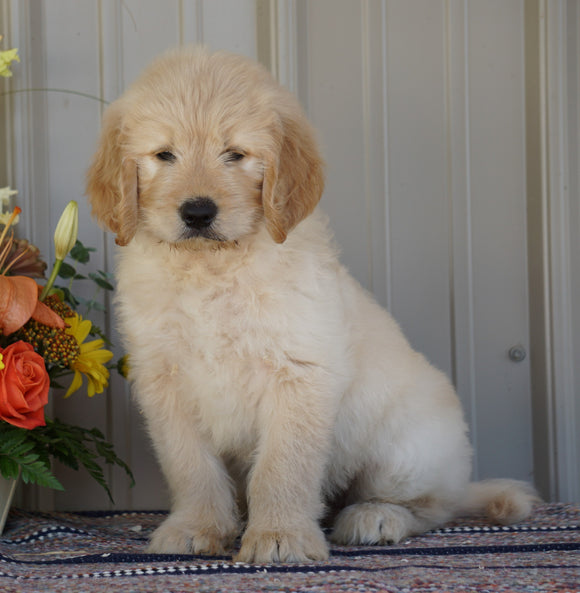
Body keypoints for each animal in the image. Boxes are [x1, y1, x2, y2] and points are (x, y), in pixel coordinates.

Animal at [87, 48, 540, 560]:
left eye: (235, 154)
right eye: (164, 154)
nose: (198, 212)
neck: (212, 269)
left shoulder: (299, 372)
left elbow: (282, 467)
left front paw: (279, 536)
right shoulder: (165, 381)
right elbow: (191, 466)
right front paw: (195, 527)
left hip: (403, 452)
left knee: (432, 505)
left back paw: (375, 516)